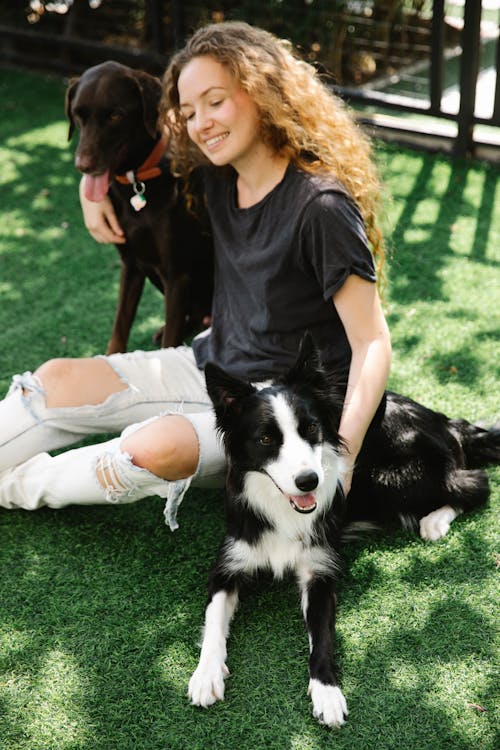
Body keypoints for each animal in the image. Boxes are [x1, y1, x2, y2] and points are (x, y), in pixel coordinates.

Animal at [65, 61, 213, 356]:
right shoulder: (131, 265)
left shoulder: (176, 273)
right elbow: (120, 325)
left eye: (115, 115)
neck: (136, 182)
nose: (82, 166)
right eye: (77, 115)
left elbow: (170, 344)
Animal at [187, 334, 496, 728]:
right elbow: (213, 623)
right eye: (266, 439)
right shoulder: (228, 564)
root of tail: (447, 421)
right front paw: (206, 675)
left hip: (393, 480)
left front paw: (328, 693)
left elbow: (323, 640)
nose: (309, 481)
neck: (280, 507)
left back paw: (434, 521)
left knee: (475, 483)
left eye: (310, 429)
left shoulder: (320, 572)